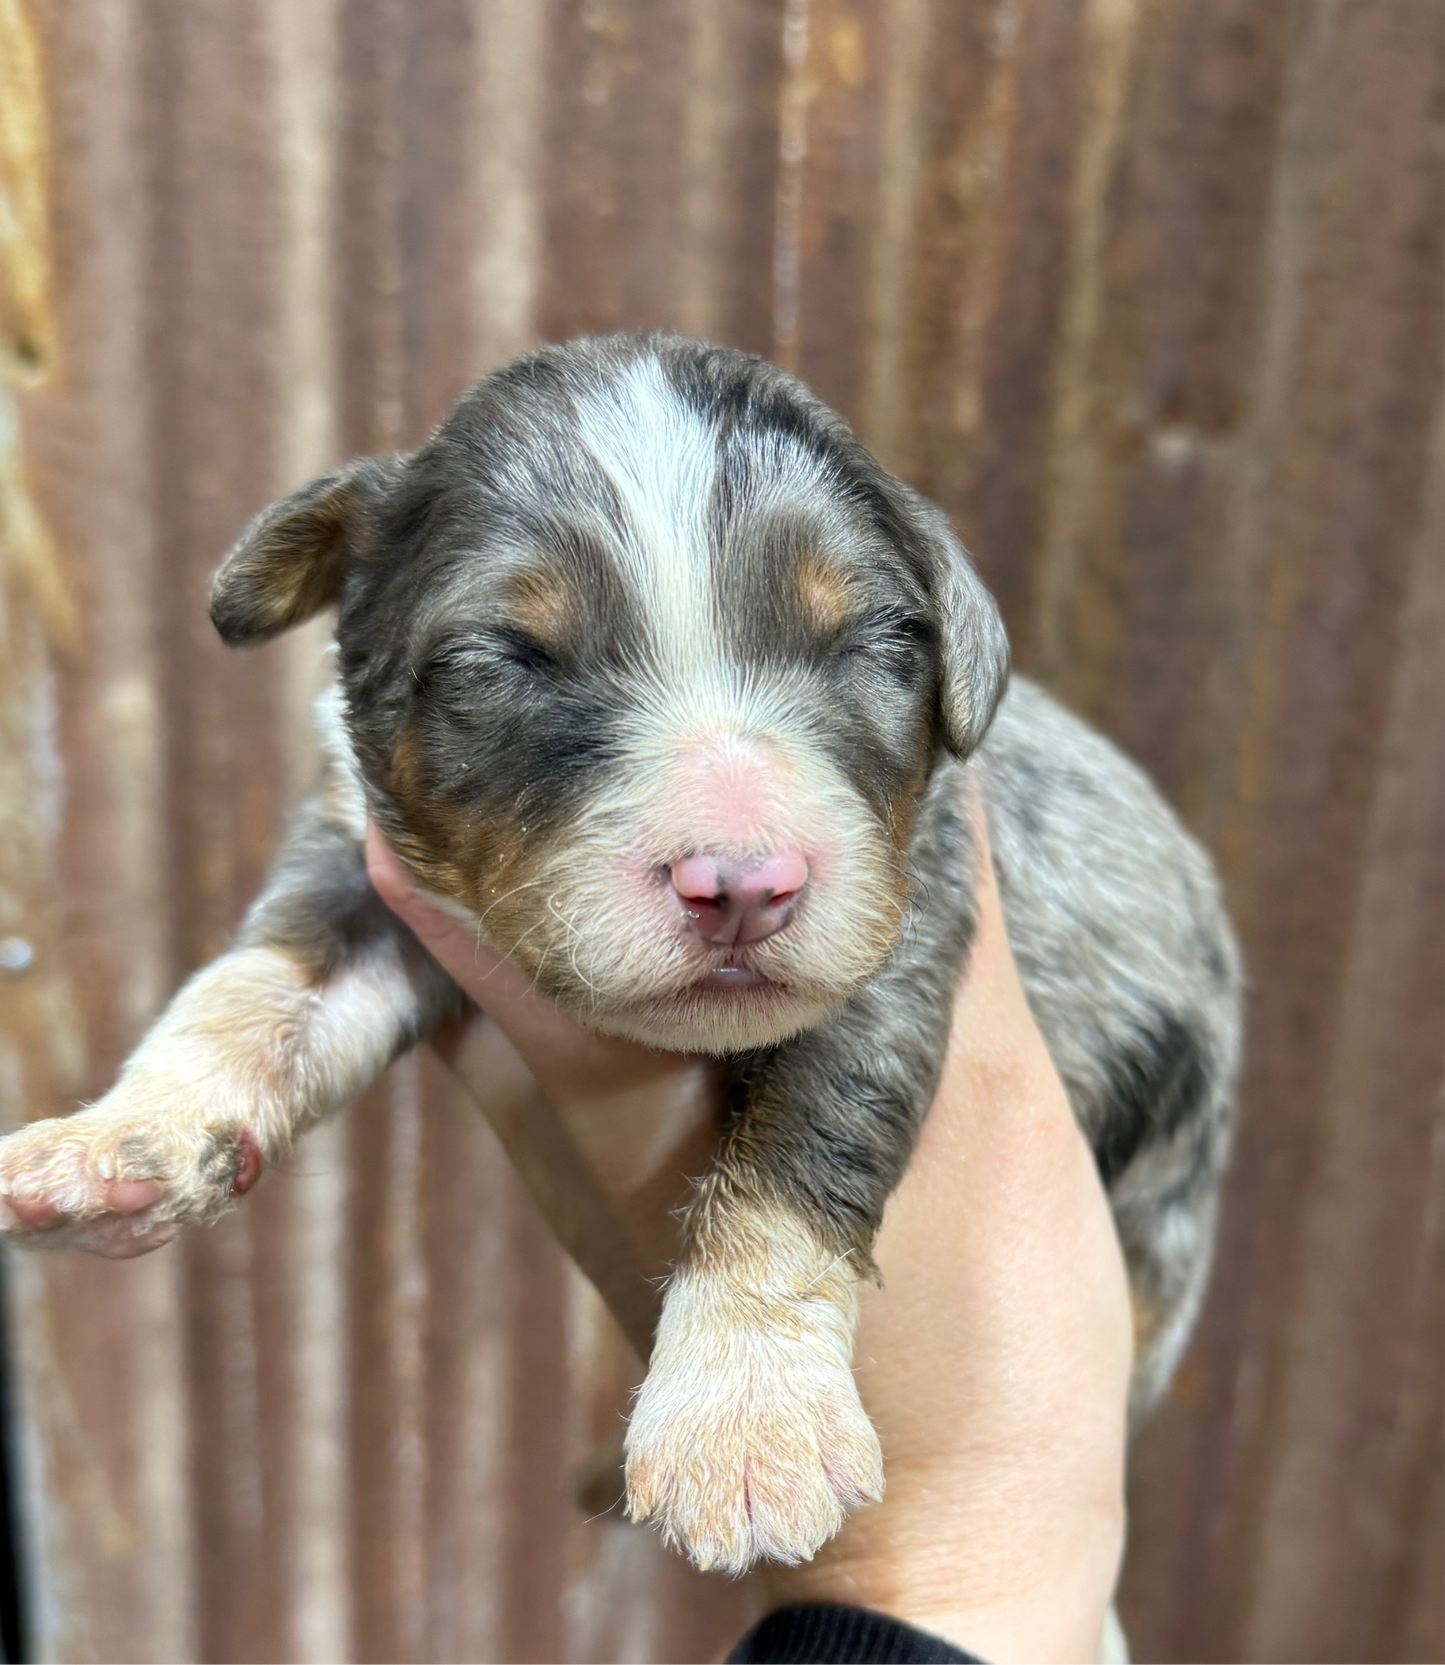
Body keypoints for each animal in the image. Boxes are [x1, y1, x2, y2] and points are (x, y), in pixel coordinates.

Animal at [0, 334, 1238, 1571]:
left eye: (875, 641)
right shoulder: (364, 880)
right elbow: (250, 991)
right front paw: (117, 1141)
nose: (741, 886)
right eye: (509, 657)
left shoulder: (904, 921)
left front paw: (747, 1418)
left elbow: (803, 1140)